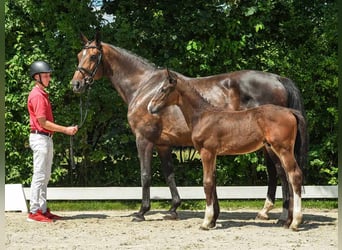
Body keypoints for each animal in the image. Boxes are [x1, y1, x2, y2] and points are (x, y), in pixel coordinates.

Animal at [71, 32, 308, 222]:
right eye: (79, 56)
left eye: (93, 56)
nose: (76, 84)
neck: (143, 86)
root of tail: (278, 78)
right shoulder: (163, 144)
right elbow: (169, 174)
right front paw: (173, 208)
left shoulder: (144, 139)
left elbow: (145, 174)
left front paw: (142, 211)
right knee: (276, 172)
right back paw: (270, 212)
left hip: (273, 146)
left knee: (281, 172)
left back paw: (283, 215)